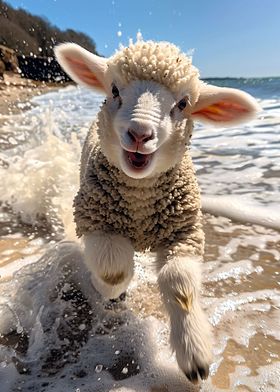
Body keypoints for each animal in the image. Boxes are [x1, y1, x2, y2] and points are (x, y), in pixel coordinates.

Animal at [55, 39, 260, 382]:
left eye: (183, 103)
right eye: (114, 90)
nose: (140, 134)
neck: (139, 199)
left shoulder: (183, 233)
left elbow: (179, 284)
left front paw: (195, 353)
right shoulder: (96, 219)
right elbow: (114, 270)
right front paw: (107, 290)